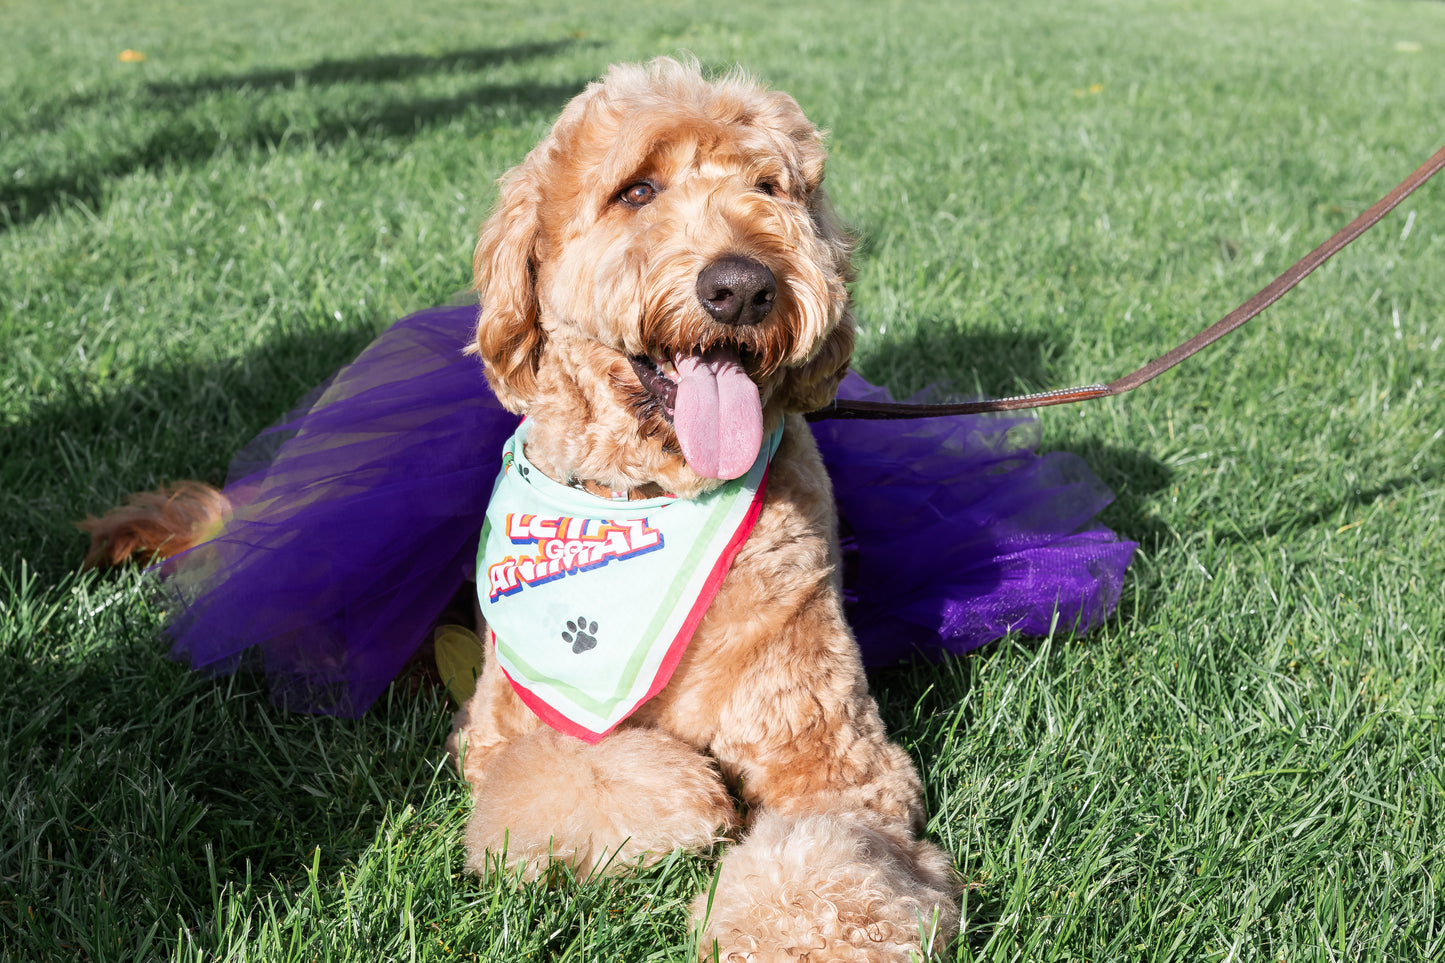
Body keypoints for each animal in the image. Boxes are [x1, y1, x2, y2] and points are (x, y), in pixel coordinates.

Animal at [450, 58, 959, 954]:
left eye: (767, 185)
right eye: (637, 190)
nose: (743, 287)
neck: (653, 498)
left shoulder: (827, 745)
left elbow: (831, 843)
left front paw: (800, 932)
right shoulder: (506, 720)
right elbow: (565, 767)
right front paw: (688, 792)